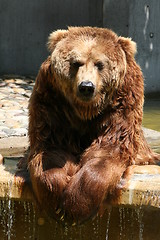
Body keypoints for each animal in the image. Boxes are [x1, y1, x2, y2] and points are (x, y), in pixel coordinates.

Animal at [27, 26, 160, 223]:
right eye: (76, 63)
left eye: (100, 64)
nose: (86, 86)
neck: (86, 111)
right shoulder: (52, 102)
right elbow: (51, 148)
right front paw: (56, 198)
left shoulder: (122, 103)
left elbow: (108, 149)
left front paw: (75, 206)